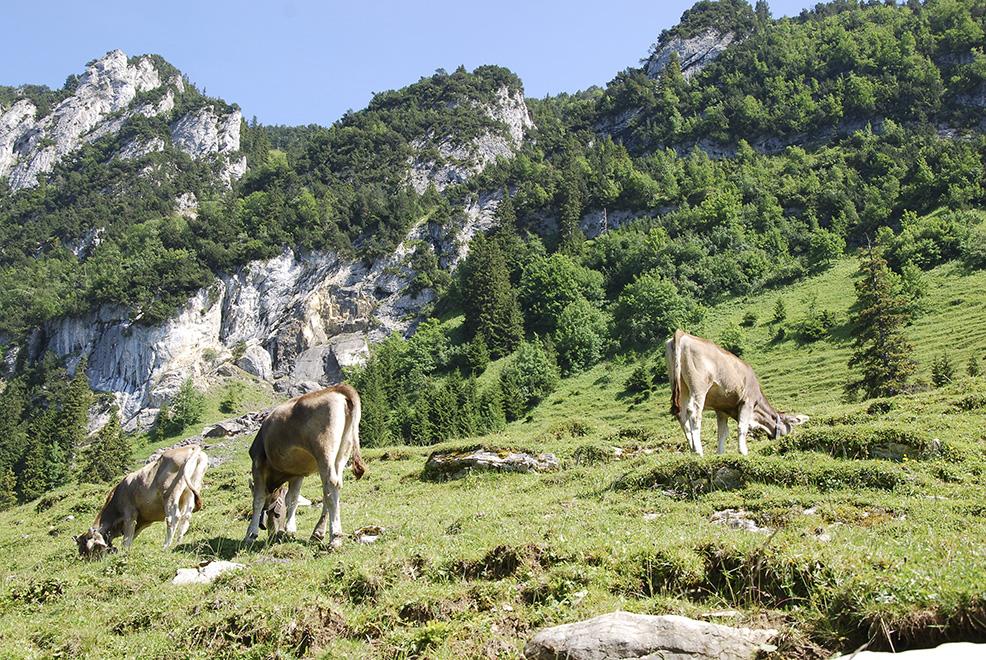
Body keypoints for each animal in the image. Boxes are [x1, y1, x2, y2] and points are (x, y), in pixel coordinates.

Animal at [75, 444, 209, 556]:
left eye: (89, 547)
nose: (86, 560)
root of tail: (192, 447)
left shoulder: (130, 514)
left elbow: (127, 538)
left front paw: (124, 552)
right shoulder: (144, 520)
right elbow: (132, 536)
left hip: (170, 492)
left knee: (173, 517)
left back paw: (166, 546)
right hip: (191, 489)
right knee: (186, 517)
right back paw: (178, 543)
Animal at [242, 382, 366, 548]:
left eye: (275, 513)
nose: (272, 534)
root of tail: (337, 389)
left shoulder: (257, 463)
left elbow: (258, 500)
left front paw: (251, 534)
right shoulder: (297, 473)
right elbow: (292, 499)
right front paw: (290, 529)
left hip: (324, 449)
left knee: (330, 485)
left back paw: (335, 538)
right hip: (342, 452)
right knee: (333, 488)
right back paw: (317, 533)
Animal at [660, 328, 808, 456]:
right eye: (789, 428)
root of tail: (682, 333)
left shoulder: (720, 408)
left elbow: (723, 433)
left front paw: (720, 453)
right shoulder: (747, 401)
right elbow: (742, 427)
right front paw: (743, 451)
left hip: (680, 386)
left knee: (681, 415)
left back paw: (692, 449)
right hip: (699, 386)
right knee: (694, 413)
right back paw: (699, 451)